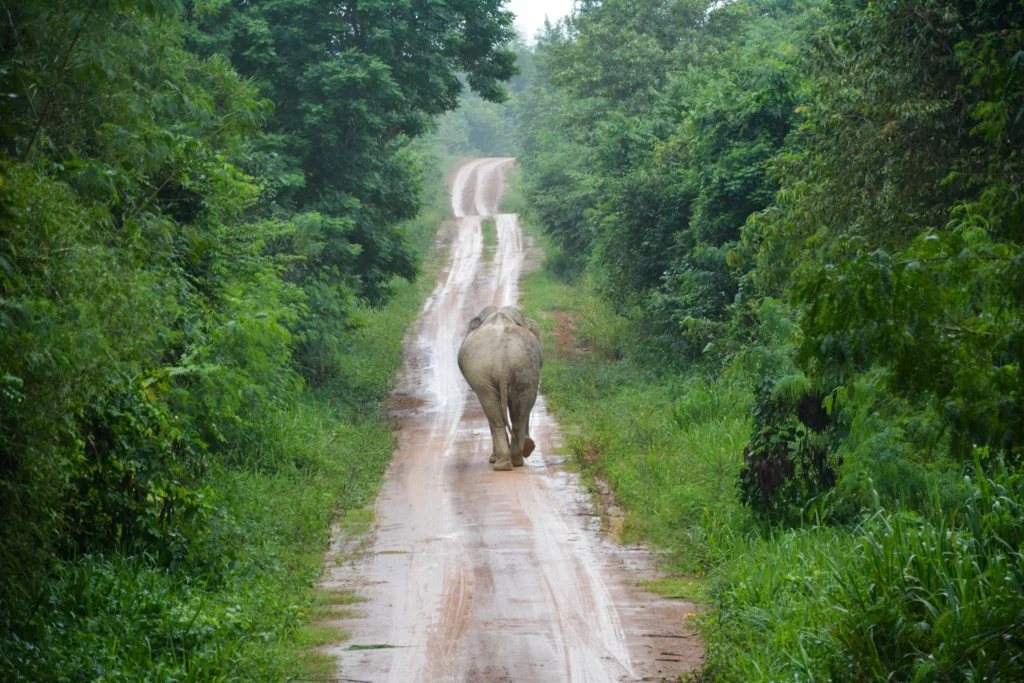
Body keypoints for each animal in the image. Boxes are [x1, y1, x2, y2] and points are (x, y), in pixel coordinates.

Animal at [458, 305, 544, 471]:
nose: (529, 447)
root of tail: (501, 361)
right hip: (522, 366)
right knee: (514, 412)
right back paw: (510, 462)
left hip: (516, 366)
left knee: (497, 411)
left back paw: (506, 462)